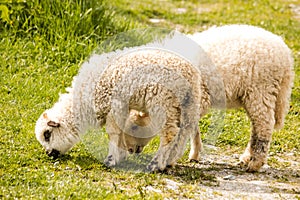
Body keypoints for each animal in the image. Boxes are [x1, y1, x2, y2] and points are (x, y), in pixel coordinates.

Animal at [188, 24, 296, 172]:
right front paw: (195, 153)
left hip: (261, 89)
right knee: (256, 126)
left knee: (264, 124)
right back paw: (247, 158)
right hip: (253, 95)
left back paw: (255, 163)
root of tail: (285, 54)